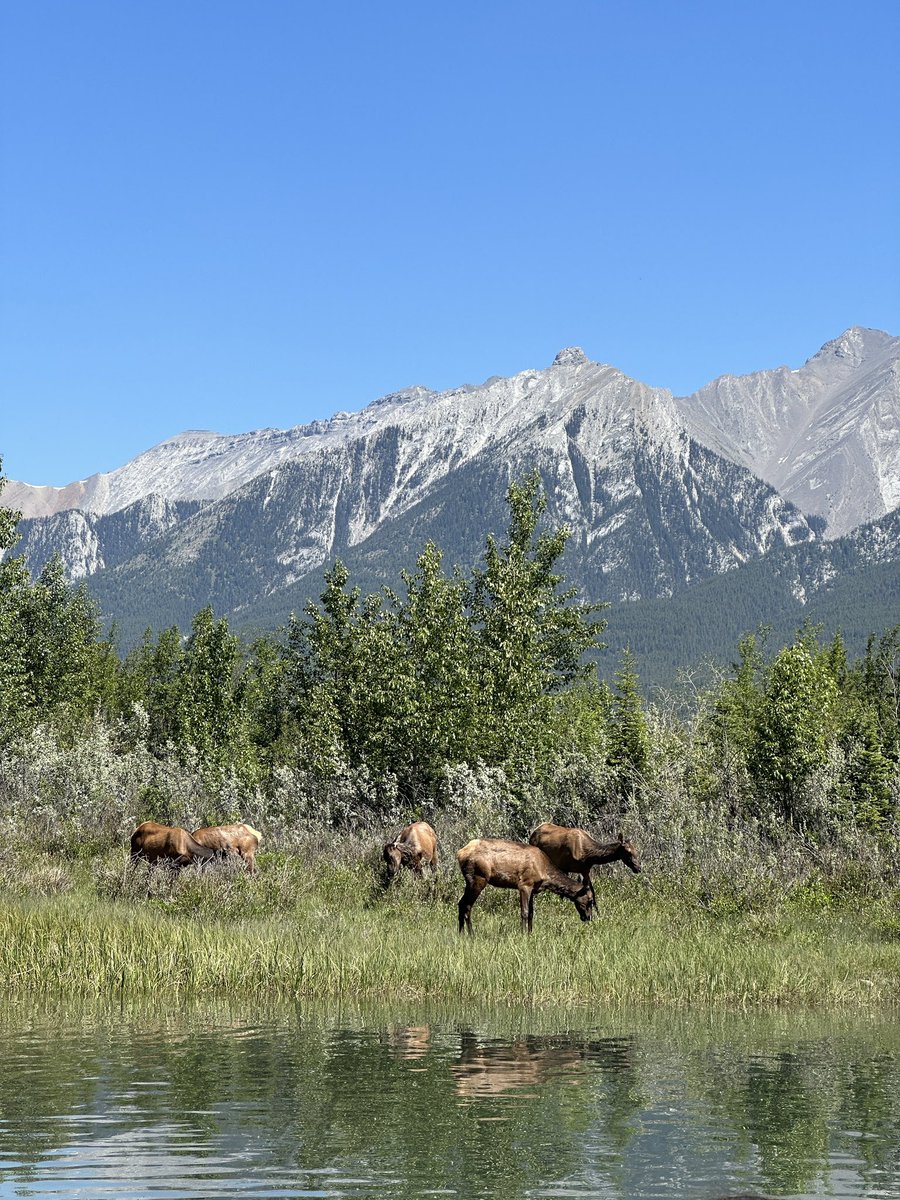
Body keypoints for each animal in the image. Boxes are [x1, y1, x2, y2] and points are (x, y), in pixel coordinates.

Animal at [453, 835, 595, 936]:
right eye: (590, 900)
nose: (588, 918)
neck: (545, 873)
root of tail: (459, 853)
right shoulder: (524, 884)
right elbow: (525, 912)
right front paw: (523, 935)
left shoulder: (533, 889)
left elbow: (532, 913)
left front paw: (530, 933)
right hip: (479, 877)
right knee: (467, 905)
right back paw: (471, 934)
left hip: (470, 881)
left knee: (461, 903)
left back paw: (461, 933)